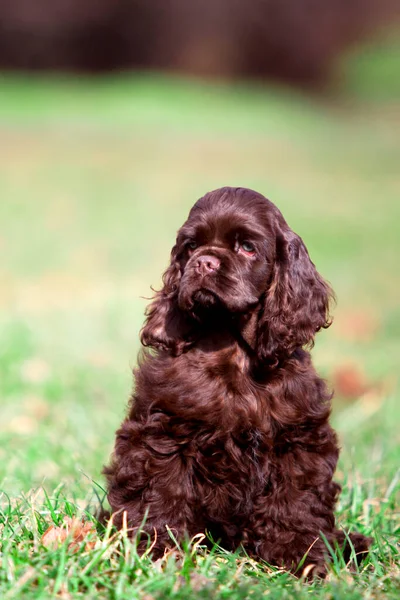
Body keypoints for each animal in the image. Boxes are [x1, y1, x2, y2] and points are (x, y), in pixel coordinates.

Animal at [104, 186, 372, 572]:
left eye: (246, 246)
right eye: (190, 246)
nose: (204, 262)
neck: (233, 349)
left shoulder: (298, 436)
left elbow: (296, 501)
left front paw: (300, 556)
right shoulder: (162, 430)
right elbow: (160, 491)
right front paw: (157, 549)